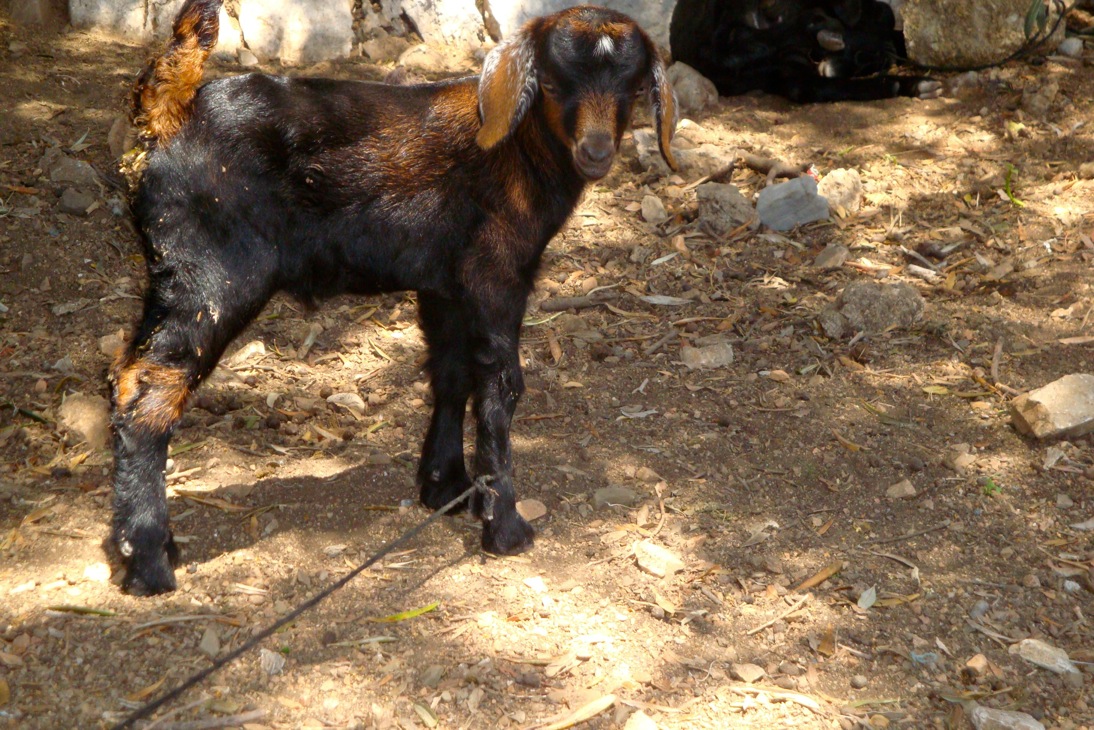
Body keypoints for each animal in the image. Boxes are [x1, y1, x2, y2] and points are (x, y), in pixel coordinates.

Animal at [109, 0, 677, 594]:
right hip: (212, 277)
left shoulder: (445, 284)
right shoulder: (497, 275)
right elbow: (500, 387)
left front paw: (446, 486)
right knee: (149, 391)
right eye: (551, 83)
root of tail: (170, 112)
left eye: (634, 88)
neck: (518, 148)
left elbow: (451, 374)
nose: (596, 150)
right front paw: (504, 526)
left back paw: (157, 545)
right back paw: (147, 560)